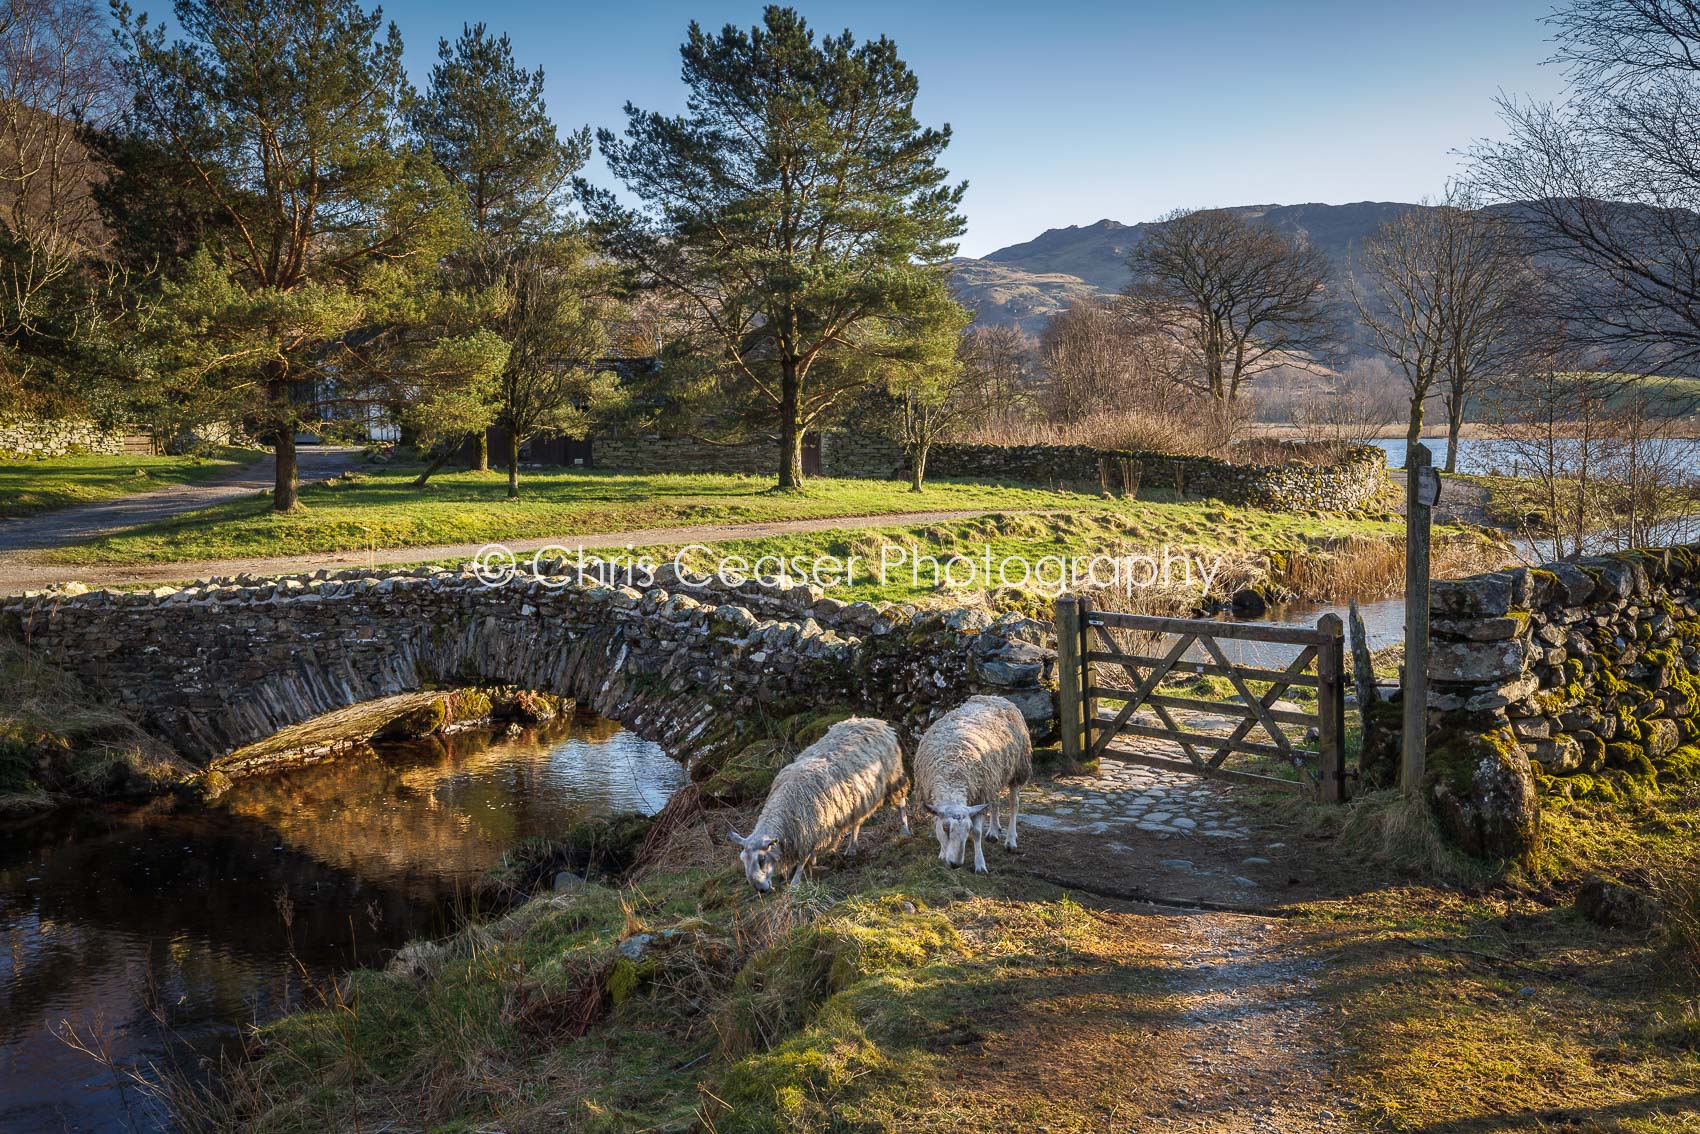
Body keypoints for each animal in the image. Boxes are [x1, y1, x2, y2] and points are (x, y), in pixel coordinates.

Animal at [727, 717, 911, 897]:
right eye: (743, 860)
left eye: (762, 859)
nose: (760, 889)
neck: (785, 808)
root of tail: (874, 721)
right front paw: (813, 863)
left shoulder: (809, 830)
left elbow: (803, 858)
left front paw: (795, 882)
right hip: (857, 797)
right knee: (857, 820)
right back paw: (852, 847)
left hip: (893, 776)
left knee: (901, 803)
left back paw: (905, 831)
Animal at [918, 697, 1033, 877]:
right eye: (945, 828)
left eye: (968, 830)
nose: (955, 864)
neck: (952, 774)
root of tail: (995, 697)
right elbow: (936, 824)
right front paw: (942, 853)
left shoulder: (979, 795)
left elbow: (977, 833)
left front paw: (980, 865)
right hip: (993, 776)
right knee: (995, 801)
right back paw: (993, 831)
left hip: (1018, 768)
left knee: (1014, 804)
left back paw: (1010, 840)